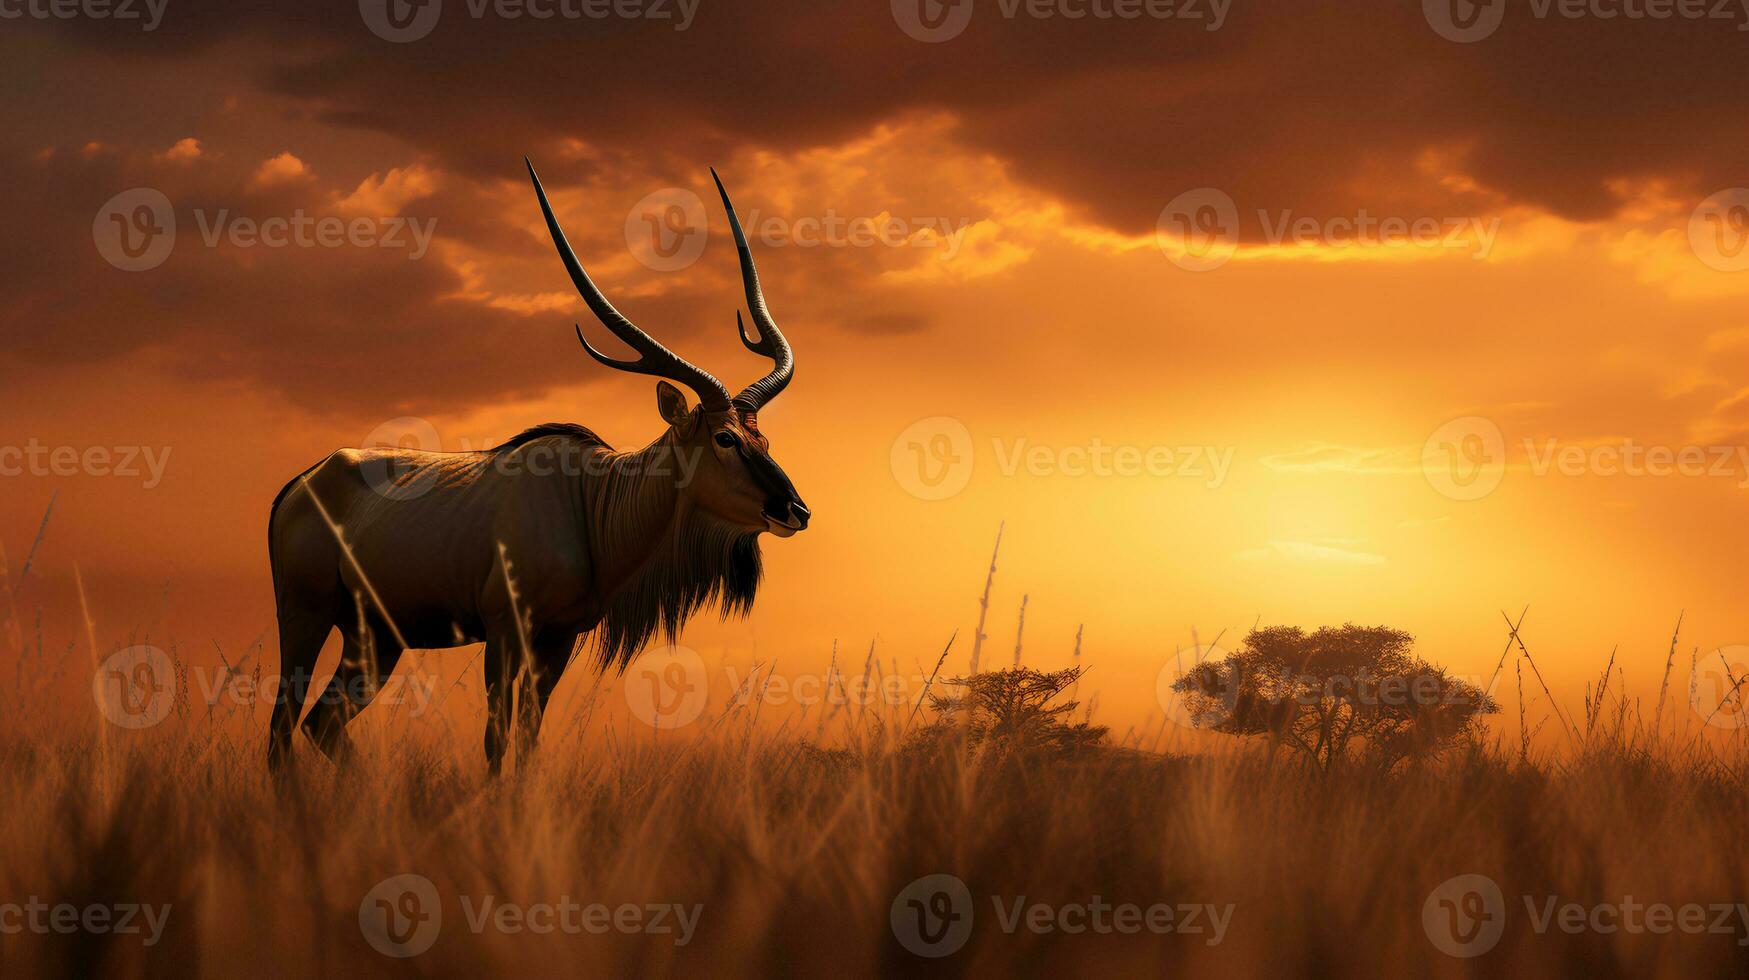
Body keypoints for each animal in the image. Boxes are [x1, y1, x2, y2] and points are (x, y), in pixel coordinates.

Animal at [265, 161, 811, 773]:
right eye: (724, 437)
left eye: (762, 436)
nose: (795, 509)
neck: (592, 501)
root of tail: (300, 484)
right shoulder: (506, 635)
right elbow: (497, 738)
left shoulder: (556, 643)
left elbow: (526, 738)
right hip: (305, 615)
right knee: (283, 726)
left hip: (377, 639)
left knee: (321, 722)